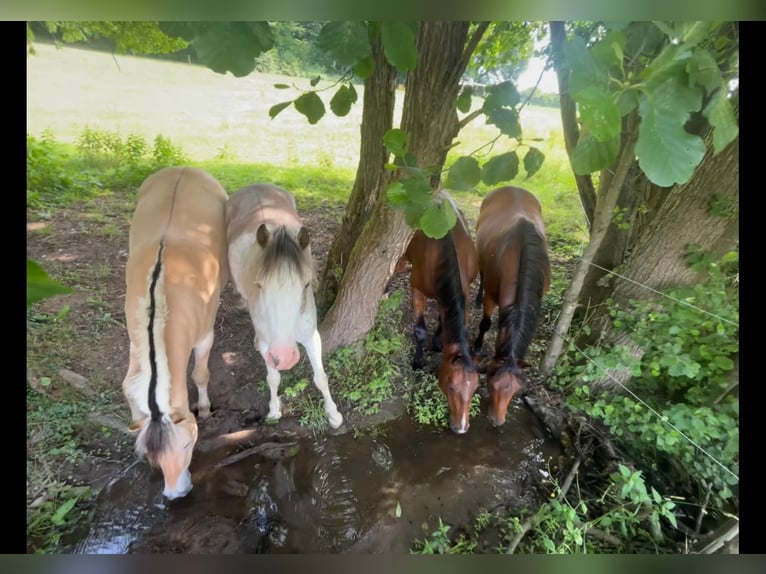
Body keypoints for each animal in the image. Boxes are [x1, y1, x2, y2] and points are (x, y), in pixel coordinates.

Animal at [121, 167, 229, 500]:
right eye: (155, 455)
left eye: (186, 445)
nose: (174, 493)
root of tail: (184, 168)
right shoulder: (135, 343)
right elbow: (129, 386)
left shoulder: (204, 335)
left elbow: (200, 373)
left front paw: (205, 410)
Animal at [225, 184, 343, 429]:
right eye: (259, 285)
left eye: (306, 284)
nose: (285, 357)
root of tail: (253, 185)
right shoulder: (269, 345)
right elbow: (273, 377)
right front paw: (274, 411)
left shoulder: (311, 336)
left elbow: (321, 377)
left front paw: (334, 414)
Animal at [396, 190, 480, 434]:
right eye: (451, 387)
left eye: (475, 388)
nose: (461, 428)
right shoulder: (417, 289)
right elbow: (419, 330)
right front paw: (418, 361)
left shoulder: (459, 298)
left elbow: (445, 320)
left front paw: (437, 342)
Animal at [471, 186, 551, 427]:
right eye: (490, 383)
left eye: (516, 390)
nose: (497, 421)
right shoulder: (492, 297)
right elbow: (486, 323)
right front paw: (477, 345)